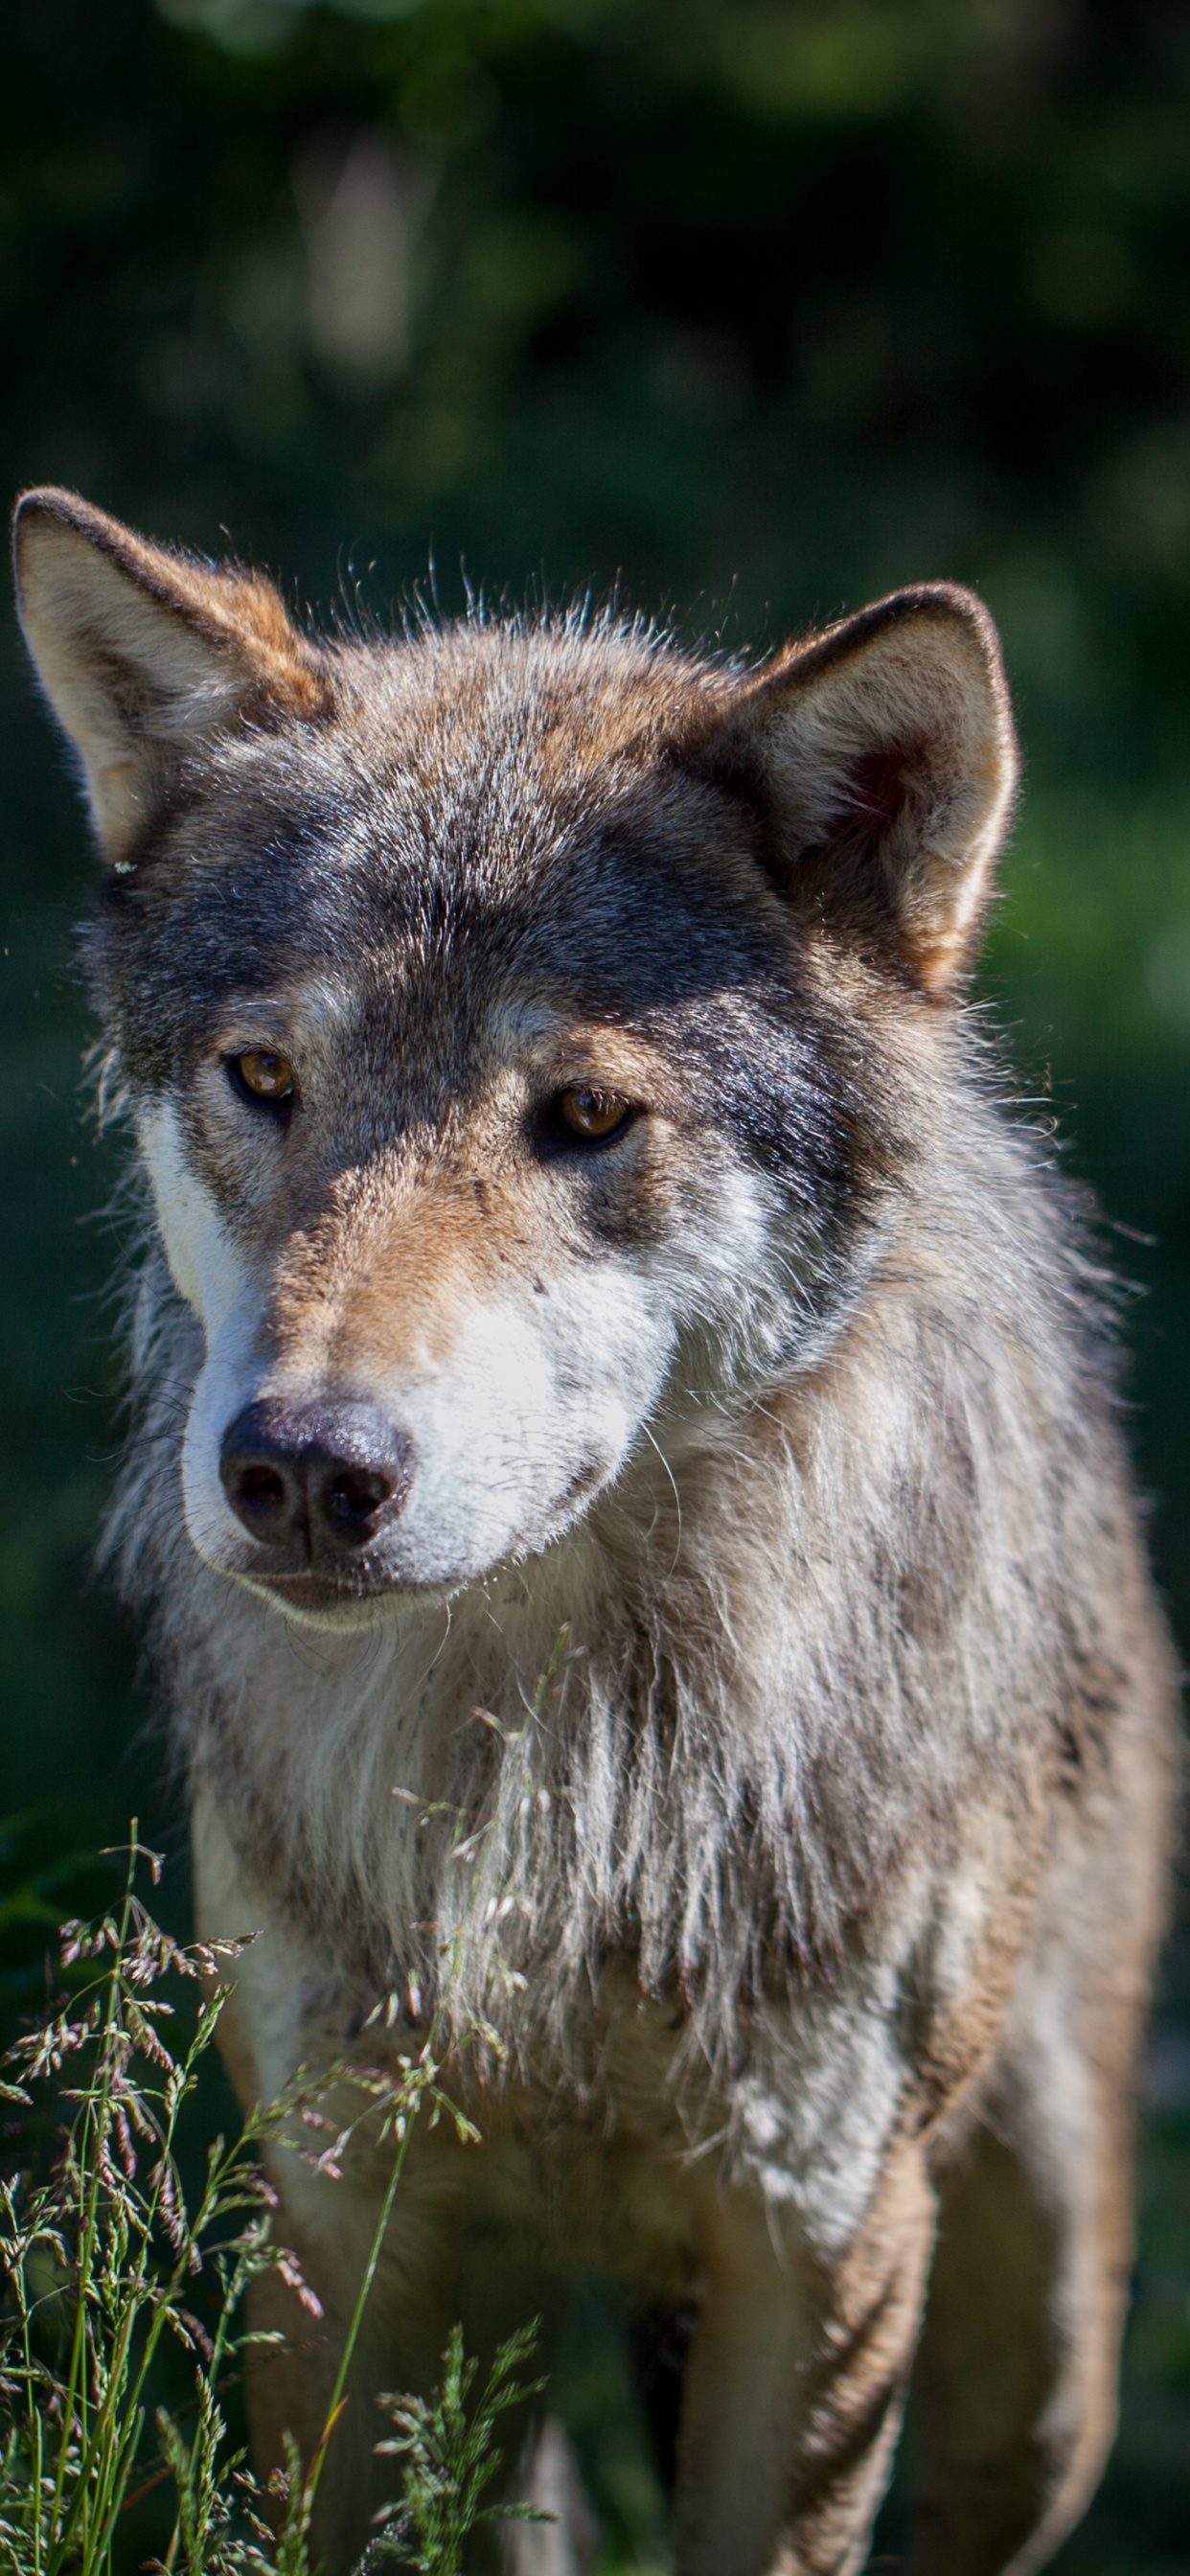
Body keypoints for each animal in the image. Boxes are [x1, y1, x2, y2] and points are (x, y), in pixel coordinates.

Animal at [11, 487, 1179, 2576]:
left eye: (579, 1114)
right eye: (264, 1078)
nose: (303, 1464)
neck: (564, 1781)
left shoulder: (819, 2238)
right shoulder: (346, 2225)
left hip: (1037, 2348)